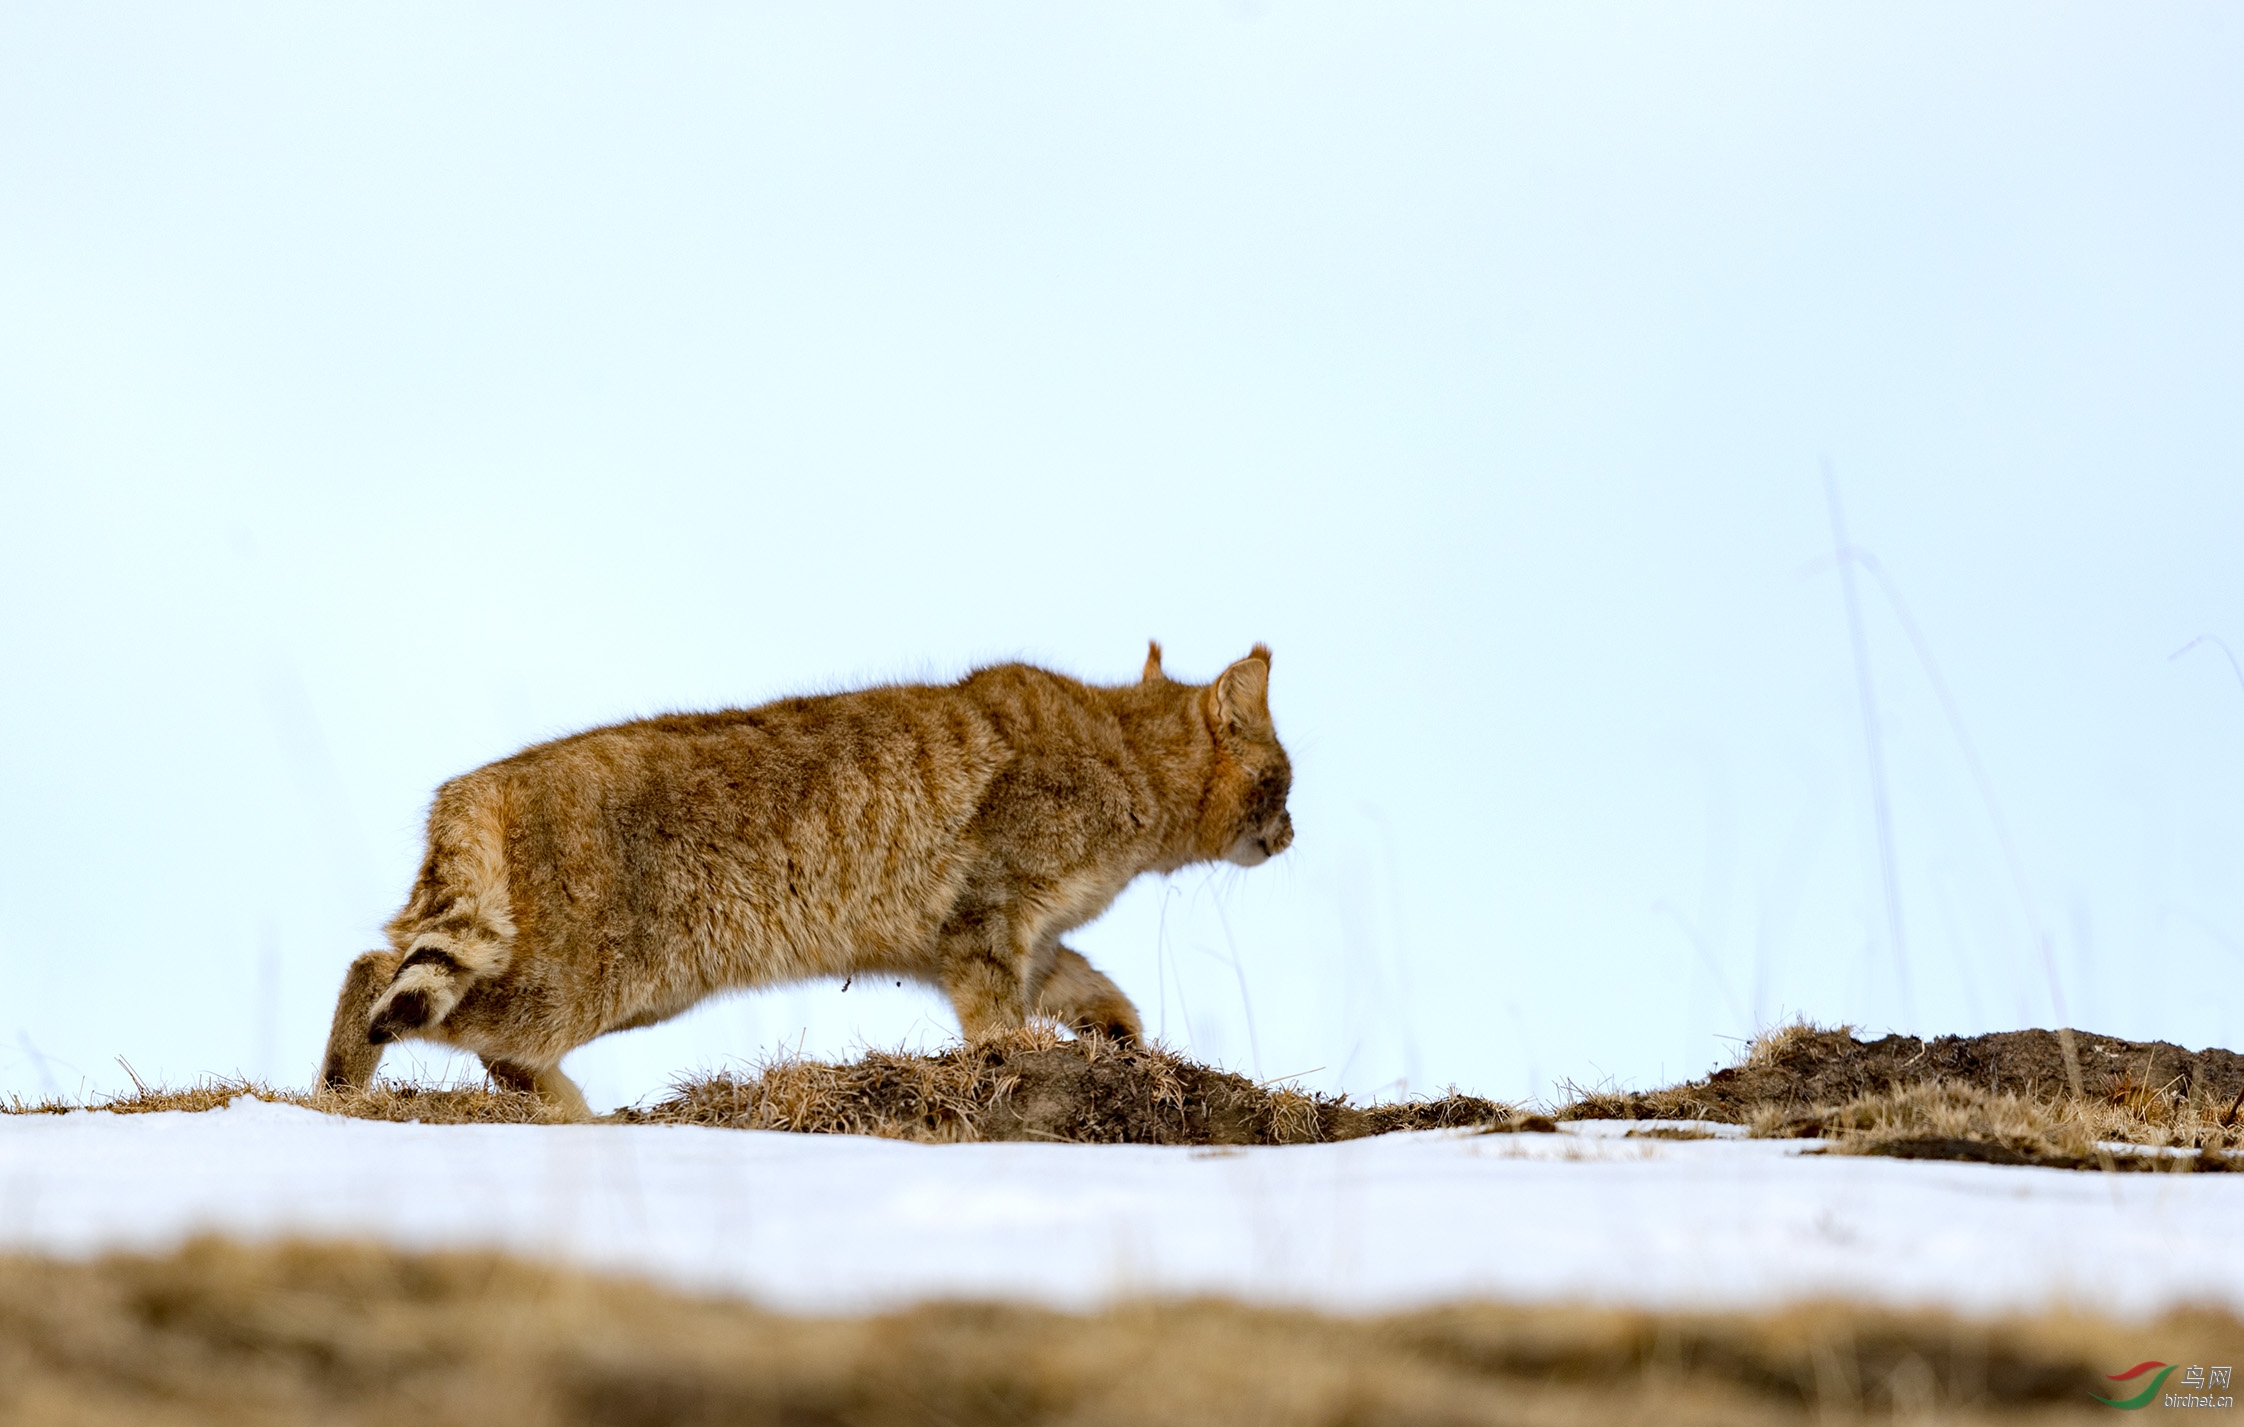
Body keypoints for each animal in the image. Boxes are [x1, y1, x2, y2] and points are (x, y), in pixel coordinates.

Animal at [323, 641, 1292, 1121]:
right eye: (1283, 779)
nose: (1291, 834)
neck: (1131, 758)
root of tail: (470, 785)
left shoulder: (1035, 939)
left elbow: (1097, 989)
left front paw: (1121, 1043)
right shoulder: (987, 917)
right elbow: (998, 1020)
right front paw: (1013, 1061)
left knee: (424, 989)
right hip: (588, 978)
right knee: (391, 985)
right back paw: (353, 1083)